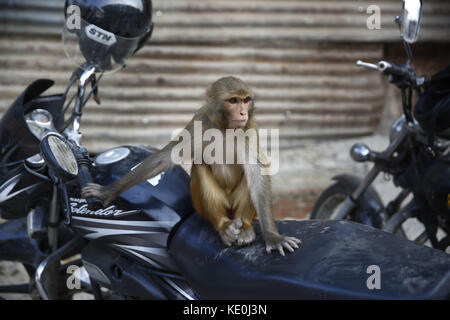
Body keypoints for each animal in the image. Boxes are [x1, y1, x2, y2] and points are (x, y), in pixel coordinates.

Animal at [82, 75, 300, 255]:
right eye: (233, 101)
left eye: (246, 100)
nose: (242, 113)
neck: (224, 128)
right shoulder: (199, 121)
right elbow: (165, 158)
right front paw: (107, 191)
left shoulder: (249, 128)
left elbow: (256, 171)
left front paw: (273, 237)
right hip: (204, 207)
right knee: (200, 168)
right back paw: (223, 227)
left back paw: (244, 227)